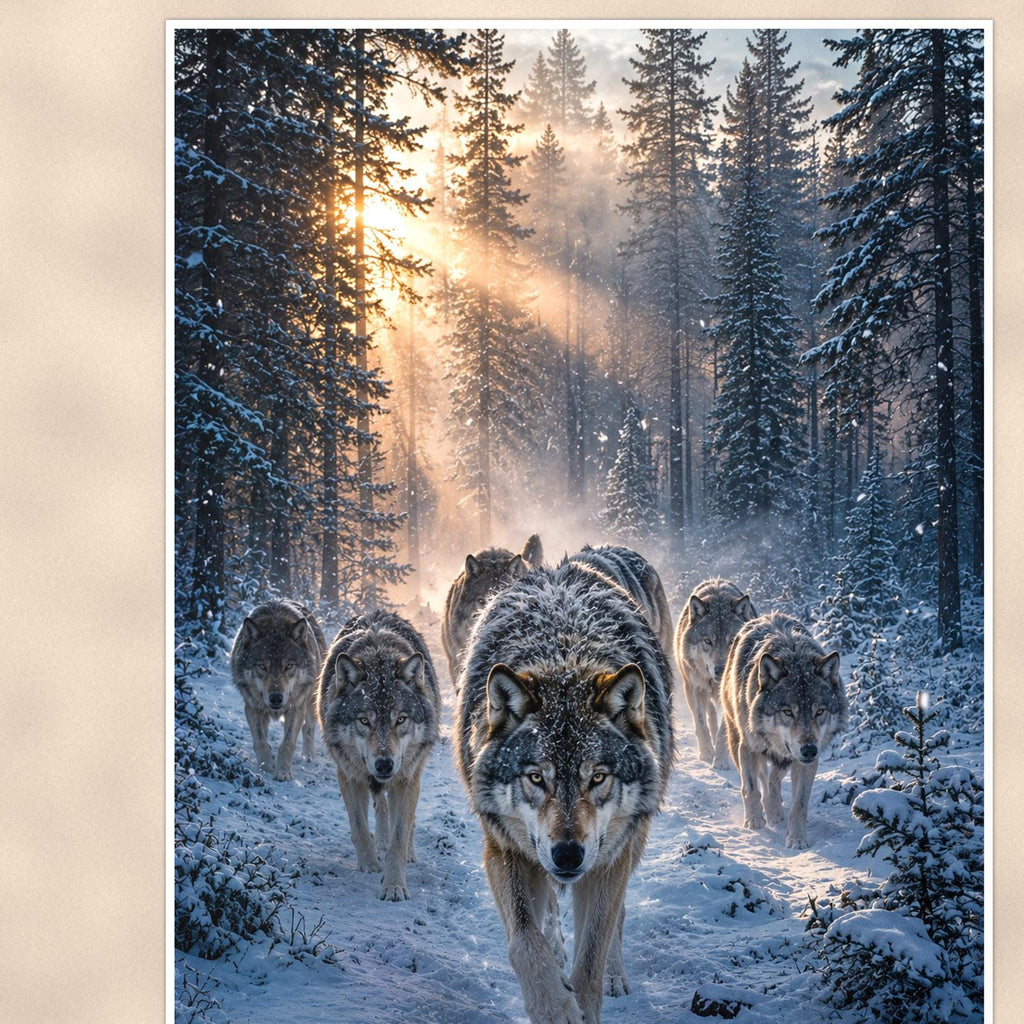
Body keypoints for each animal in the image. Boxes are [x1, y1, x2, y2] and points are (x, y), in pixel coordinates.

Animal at [230, 599, 327, 781]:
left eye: (288, 666)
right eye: (262, 666)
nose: (276, 698)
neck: (275, 623)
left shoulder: (296, 708)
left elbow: (288, 743)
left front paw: (283, 772)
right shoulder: (252, 707)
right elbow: (260, 741)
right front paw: (266, 766)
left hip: (310, 701)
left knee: (308, 728)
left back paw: (308, 756)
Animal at [316, 609, 440, 901]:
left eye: (400, 719)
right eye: (364, 720)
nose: (385, 764)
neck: (378, 654)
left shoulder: (407, 778)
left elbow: (400, 836)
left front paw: (394, 886)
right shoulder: (349, 774)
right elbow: (360, 826)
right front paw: (370, 865)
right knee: (379, 804)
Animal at [455, 560, 673, 1024]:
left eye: (598, 778)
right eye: (537, 778)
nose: (568, 855)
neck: (564, 654)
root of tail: (561, 567)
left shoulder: (609, 859)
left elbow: (592, 953)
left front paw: (587, 996)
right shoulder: (505, 848)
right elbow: (524, 940)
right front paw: (554, 1005)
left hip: (630, 841)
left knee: (616, 919)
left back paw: (614, 975)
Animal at [674, 579, 757, 767]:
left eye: (732, 641)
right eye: (707, 641)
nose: (720, 669)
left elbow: (723, 732)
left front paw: (720, 760)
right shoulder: (692, 689)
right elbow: (701, 725)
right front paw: (706, 754)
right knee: (710, 716)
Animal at [720, 611, 848, 849]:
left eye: (820, 711)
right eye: (788, 711)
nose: (809, 749)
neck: (793, 652)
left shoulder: (805, 762)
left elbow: (799, 804)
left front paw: (797, 838)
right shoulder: (748, 747)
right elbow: (750, 787)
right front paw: (754, 821)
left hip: (787, 756)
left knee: (773, 778)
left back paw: (774, 809)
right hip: (737, 739)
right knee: (761, 777)